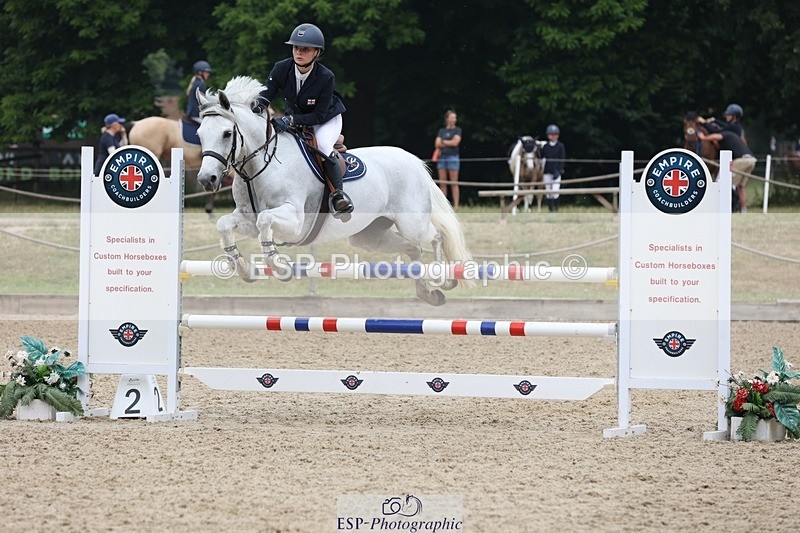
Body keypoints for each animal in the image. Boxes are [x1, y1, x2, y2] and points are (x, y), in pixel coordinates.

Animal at [196, 76, 472, 306]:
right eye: (199, 133)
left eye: (227, 133)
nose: (207, 179)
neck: (260, 165)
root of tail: (414, 162)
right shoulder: (247, 219)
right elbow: (224, 224)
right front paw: (243, 268)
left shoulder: (295, 221)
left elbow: (266, 220)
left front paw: (279, 266)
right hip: (368, 235)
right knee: (413, 249)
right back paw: (428, 293)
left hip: (411, 222)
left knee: (435, 236)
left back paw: (443, 279)